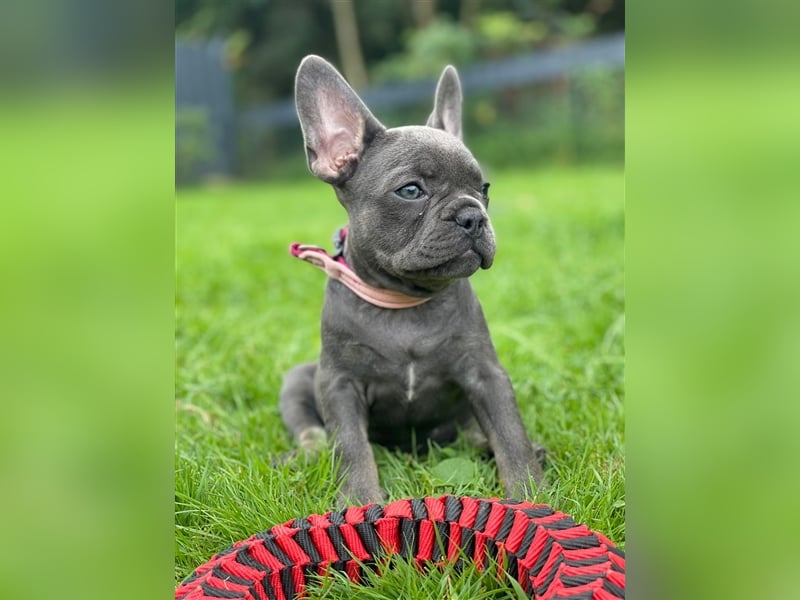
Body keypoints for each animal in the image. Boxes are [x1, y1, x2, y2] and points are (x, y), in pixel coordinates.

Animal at [278, 56, 548, 504]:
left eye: (484, 188)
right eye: (410, 191)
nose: (473, 215)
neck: (404, 300)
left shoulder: (484, 373)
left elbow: (510, 434)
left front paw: (530, 495)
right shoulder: (339, 385)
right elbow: (351, 447)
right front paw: (360, 503)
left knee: (471, 431)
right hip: (299, 379)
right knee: (311, 430)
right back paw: (307, 455)